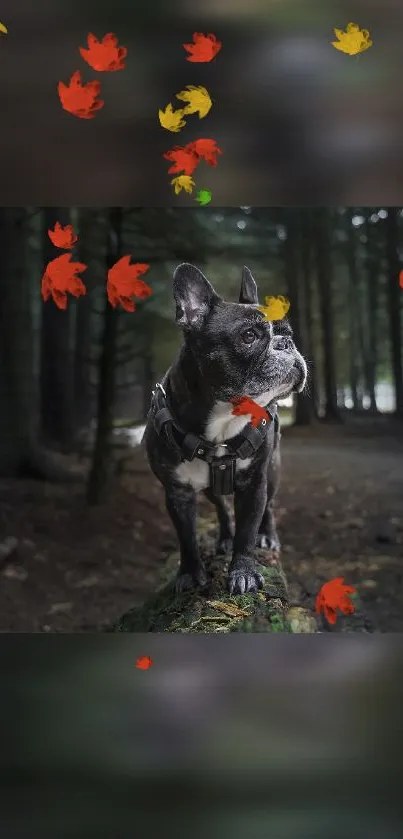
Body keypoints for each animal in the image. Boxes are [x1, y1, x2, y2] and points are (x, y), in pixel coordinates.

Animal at [144, 262, 308, 596]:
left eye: (288, 333)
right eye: (248, 336)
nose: (286, 343)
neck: (223, 420)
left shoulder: (255, 484)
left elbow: (248, 531)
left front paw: (244, 571)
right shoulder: (177, 493)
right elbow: (187, 538)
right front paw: (190, 573)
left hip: (273, 470)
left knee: (269, 506)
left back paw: (267, 536)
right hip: (209, 488)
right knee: (221, 506)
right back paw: (224, 538)